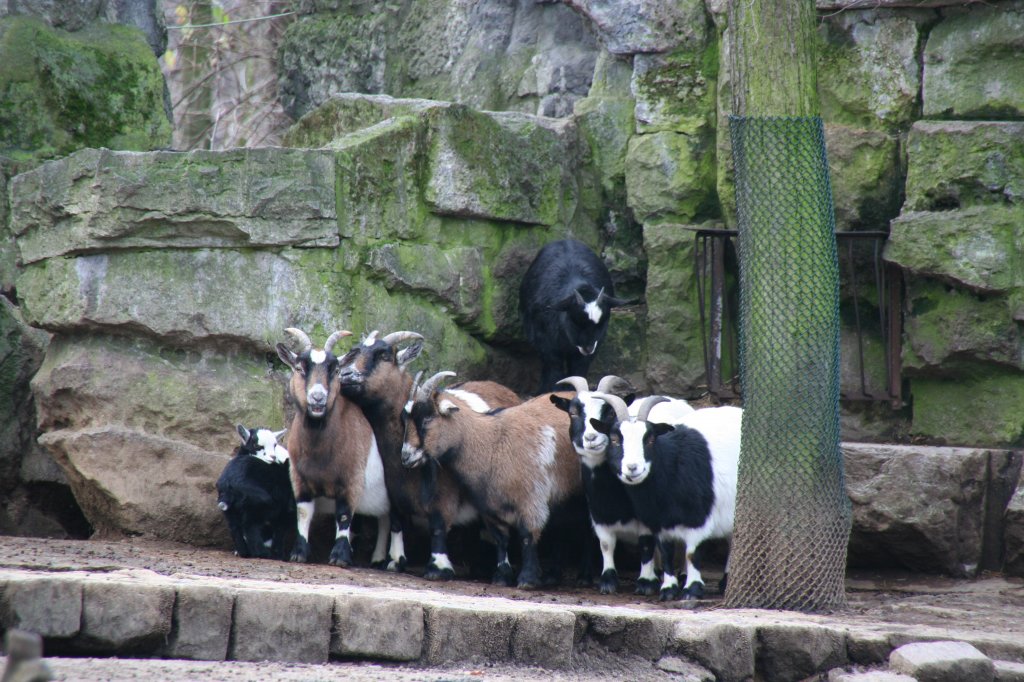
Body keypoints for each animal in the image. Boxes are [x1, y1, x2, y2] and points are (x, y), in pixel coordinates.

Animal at [216, 425, 294, 557]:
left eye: (275, 445)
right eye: (258, 446)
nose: (272, 457)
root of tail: (229, 483)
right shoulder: (287, 505)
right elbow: (280, 529)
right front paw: (279, 554)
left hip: (233, 509)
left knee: (235, 527)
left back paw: (244, 552)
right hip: (258, 502)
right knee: (250, 526)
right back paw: (263, 553)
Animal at [274, 329, 389, 569]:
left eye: (335, 370)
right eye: (299, 368)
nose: (318, 397)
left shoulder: (352, 479)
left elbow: (344, 515)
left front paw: (340, 557)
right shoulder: (299, 478)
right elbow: (303, 513)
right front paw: (298, 553)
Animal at [403, 368, 589, 585]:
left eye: (426, 419)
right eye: (406, 420)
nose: (405, 456)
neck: (491, 441)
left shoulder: (532, 501)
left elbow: (527, 536)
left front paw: (528, 579)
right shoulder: (489, 506)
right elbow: (501, 539)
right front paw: (502, 575)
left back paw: (583, 576)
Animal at [516, 237, 626, 391]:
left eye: (601, 323)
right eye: (574, 321)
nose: (587, 347)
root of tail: (565, 240)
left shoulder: (593, 345)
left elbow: (578, 369)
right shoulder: (545, 341)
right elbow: (554, 367)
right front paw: (550, 390)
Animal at [589, 393, 741, 602]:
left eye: (650, 439)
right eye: (614, 439)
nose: (633, 468)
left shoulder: (698, 519)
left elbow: (692, 553)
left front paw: (691, 590)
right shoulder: (659, 522)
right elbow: (667, 552)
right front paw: (668, 590)